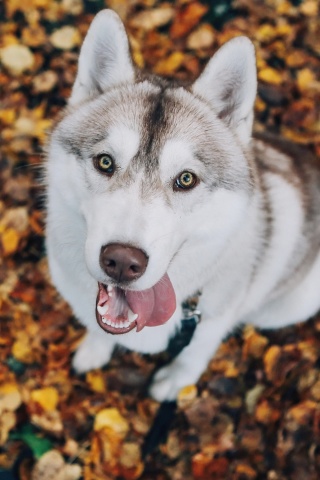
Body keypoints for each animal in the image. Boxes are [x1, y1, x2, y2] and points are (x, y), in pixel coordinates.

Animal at [46, 9, 320, 404]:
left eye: (186, 179)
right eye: (105, 162)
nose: (122, 261)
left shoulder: (212, 321)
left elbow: (195, 353)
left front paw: (176, 381)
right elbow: (99, 330)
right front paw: (94, 349)